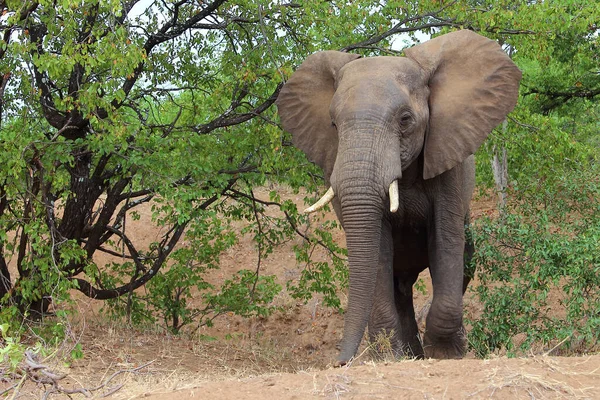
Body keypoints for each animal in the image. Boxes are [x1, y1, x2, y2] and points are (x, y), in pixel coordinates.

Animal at [276, 29, 520, 364]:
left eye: (405, 120)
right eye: (334, 125)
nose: (340, 362)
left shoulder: (448, 155)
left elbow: (446, 239)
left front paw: (445, 354)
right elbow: (377, 248)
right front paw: (388, 358)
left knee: (462, 262)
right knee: (398, 288)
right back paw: (408, 354)